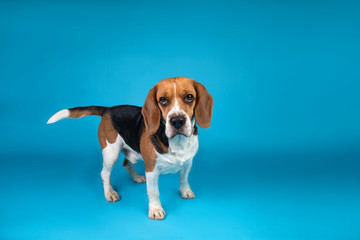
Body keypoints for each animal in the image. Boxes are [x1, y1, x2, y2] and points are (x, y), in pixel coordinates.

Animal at [46, 77, 212, 219]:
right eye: (163, 100)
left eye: (189, 97)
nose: (177, 121)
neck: (177, 141)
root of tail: (108, 110)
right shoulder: (151, 170)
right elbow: (154, 192)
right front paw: (155, 209)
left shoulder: (188, 162)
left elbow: (184, 178)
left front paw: (185, 191)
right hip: (110, 153)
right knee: (104, 174)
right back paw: (110, 193)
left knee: (126, 163)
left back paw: (136, 177)